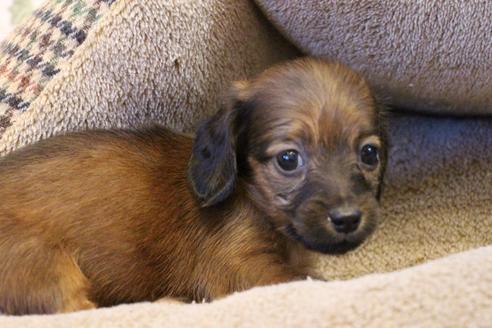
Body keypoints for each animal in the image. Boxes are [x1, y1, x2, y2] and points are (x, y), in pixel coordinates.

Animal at [0, 57, 386, 316]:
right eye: (288, 159)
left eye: (370, 153)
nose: (348, 218)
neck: (249, 196)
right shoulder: (244, 268)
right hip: (43, 263)